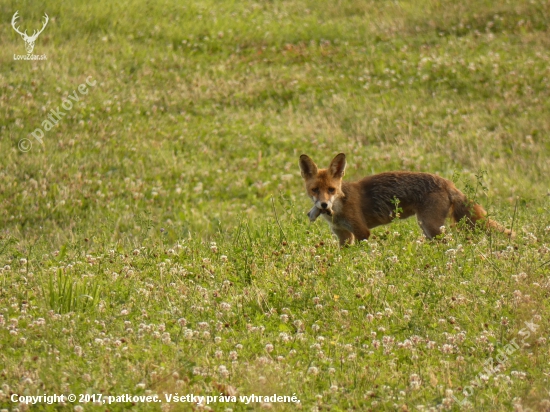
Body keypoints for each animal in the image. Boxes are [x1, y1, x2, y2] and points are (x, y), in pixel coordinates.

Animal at [300, 154, 516, 245]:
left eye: (331, 189)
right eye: (315, 190)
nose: (324, 205)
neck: (339, 208)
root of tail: (447, 182)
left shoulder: (362, 232)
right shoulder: (344, 236)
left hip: (430, 225)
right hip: (428, 228)